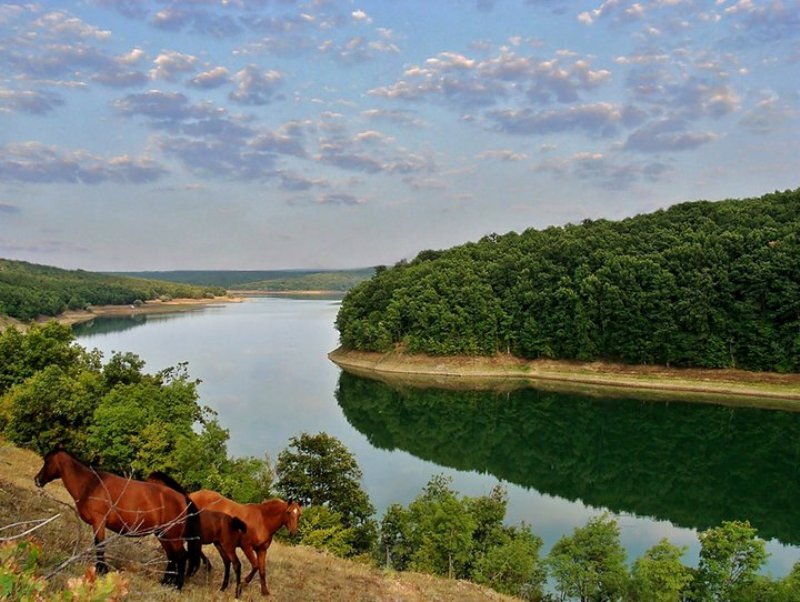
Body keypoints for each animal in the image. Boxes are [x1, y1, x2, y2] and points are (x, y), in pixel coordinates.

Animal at [34, 448, 201, 590]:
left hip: (172, 535)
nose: (37, 480)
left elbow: (99, 546)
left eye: (47, 461)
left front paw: (102, 571)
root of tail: (183, 498)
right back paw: (165, 583)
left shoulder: (99, 522)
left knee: (180, 557)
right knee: (172, 557)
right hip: (163, 535)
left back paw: (177, 586)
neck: (91, 484)